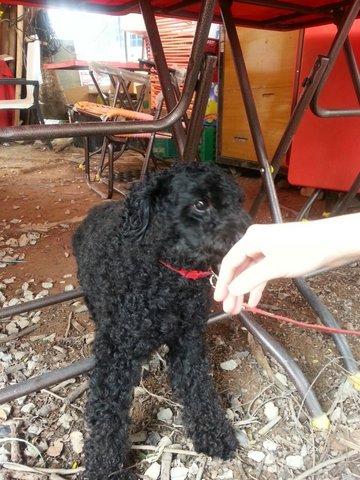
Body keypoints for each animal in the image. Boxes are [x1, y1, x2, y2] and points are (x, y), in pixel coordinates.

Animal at [72, 163, 250, 478]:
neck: (167, 276)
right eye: (200, 203)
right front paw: (106, 468)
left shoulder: (189, 341)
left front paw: (213, 434)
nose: (247, 235)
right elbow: (107, 416)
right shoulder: (116, 356)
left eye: (238, 202)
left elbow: (199, 389)